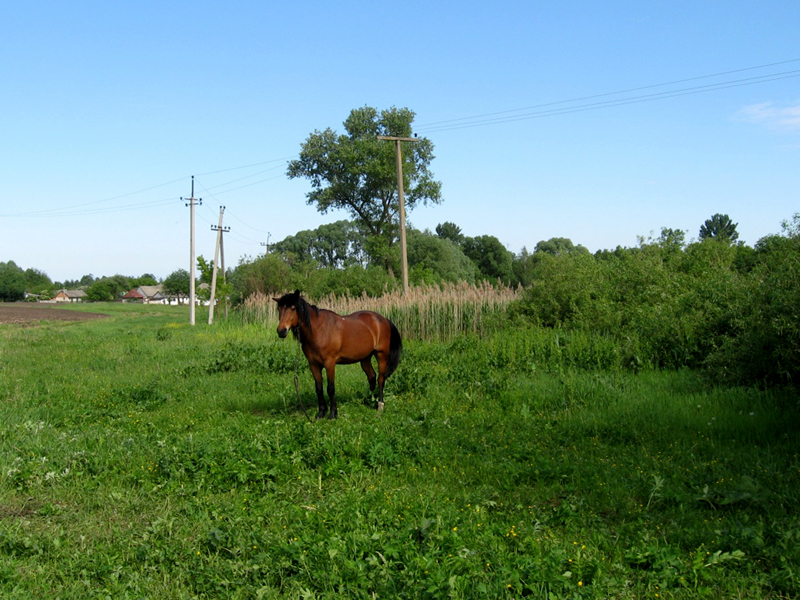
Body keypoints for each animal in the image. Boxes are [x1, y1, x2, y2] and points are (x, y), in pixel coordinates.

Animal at [276, 290, 404, 420]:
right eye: (279, 309)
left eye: (293, 308)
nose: (281, 331)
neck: (319, 330)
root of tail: (384, 319)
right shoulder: (313, 364)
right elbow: (319, 388)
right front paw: (321, 413)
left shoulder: (330, 363)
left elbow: (330, 388)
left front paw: (333, 414)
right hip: (365, 358)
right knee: (372, 376)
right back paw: (368, 400)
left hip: (381, 356)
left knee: (380, 379)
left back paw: (380, 404)